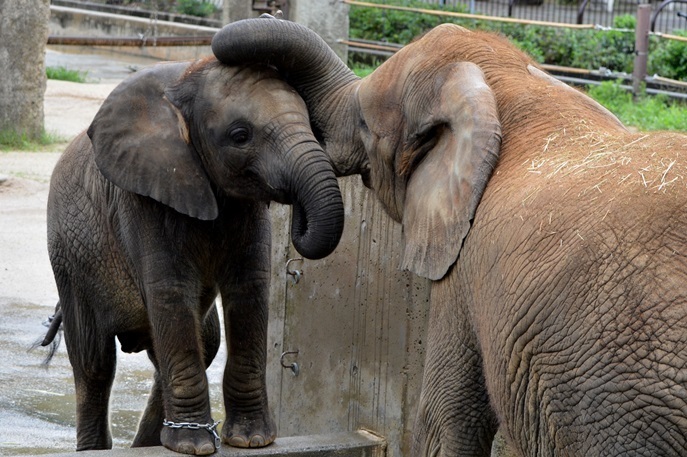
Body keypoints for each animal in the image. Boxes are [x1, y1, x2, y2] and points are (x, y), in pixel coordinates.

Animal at [41, 58, 344, 454]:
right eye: (240, 136)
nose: (296, 211)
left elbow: (248, 288)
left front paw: (251, 440)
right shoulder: (143, 196)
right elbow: (170, 291)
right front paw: (194, 446)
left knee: (197, 343)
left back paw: (148, 444)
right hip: (68, 259)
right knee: (94, 362)